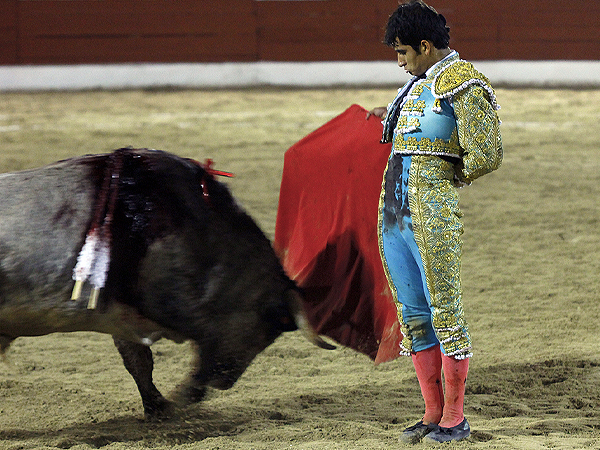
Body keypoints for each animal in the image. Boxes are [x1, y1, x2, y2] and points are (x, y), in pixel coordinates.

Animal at [0, 148, 332, 418]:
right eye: (269, 328)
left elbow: (139, 360)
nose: (226, 381)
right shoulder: (175, 305)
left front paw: (159, 407)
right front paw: (177, 400)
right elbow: (186, 356)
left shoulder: (122, 313)